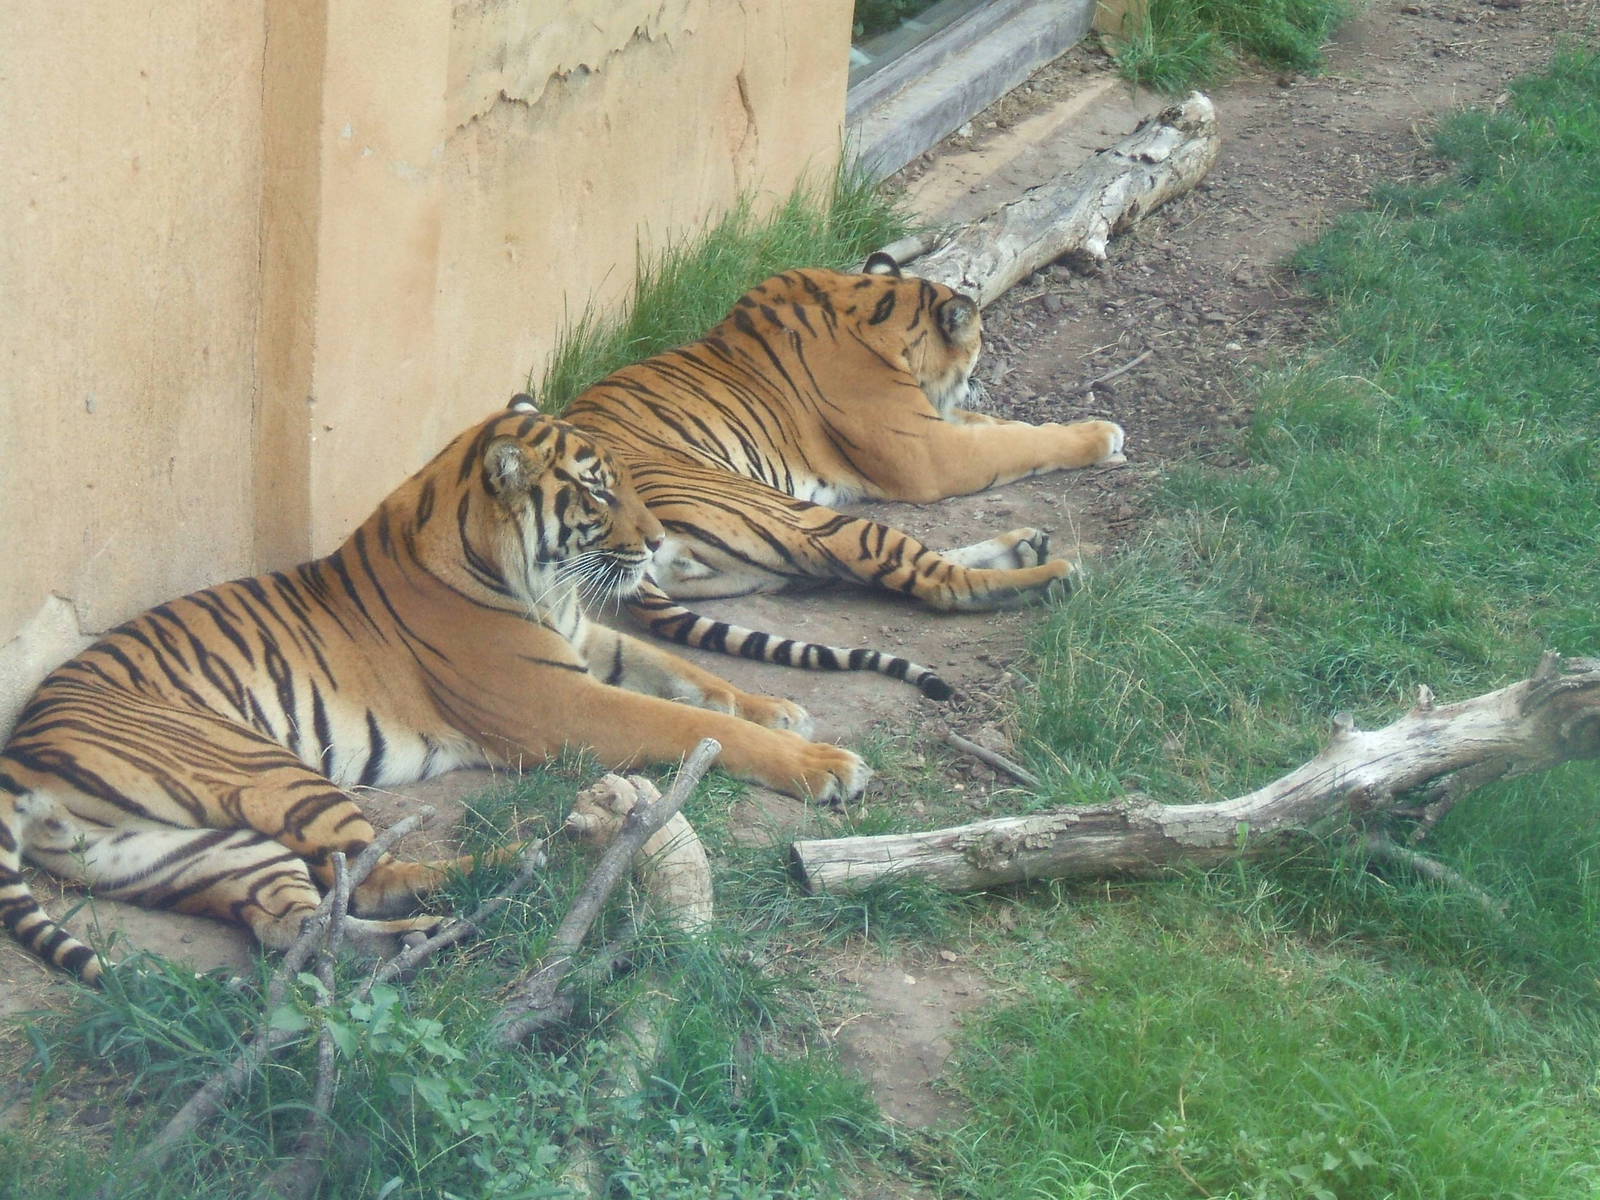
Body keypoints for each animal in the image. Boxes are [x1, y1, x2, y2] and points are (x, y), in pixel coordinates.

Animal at [0, 409, 868, 982]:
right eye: (597, 493)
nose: (657, 544)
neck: (536, 583)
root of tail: (20, 754)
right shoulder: (560, 702)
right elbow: (680, 719)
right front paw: (825, 764)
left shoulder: (583, 643)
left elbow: (693, 680)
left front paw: (781, 709)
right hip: (264, 767)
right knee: (370, 874)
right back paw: (531, 856)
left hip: (183, 849)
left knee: (294, 923)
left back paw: (417, 938)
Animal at [560, 251, 1126, 701]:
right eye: (980, 340)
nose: (976, 377)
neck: (874, 301)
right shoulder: (932, 452)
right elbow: (1020, 443)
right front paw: (1104, 436)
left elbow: (1006, 428)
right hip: (793, 515)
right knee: (935, 581)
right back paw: (1052, 574)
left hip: (763, 562)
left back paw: (1025, 546)